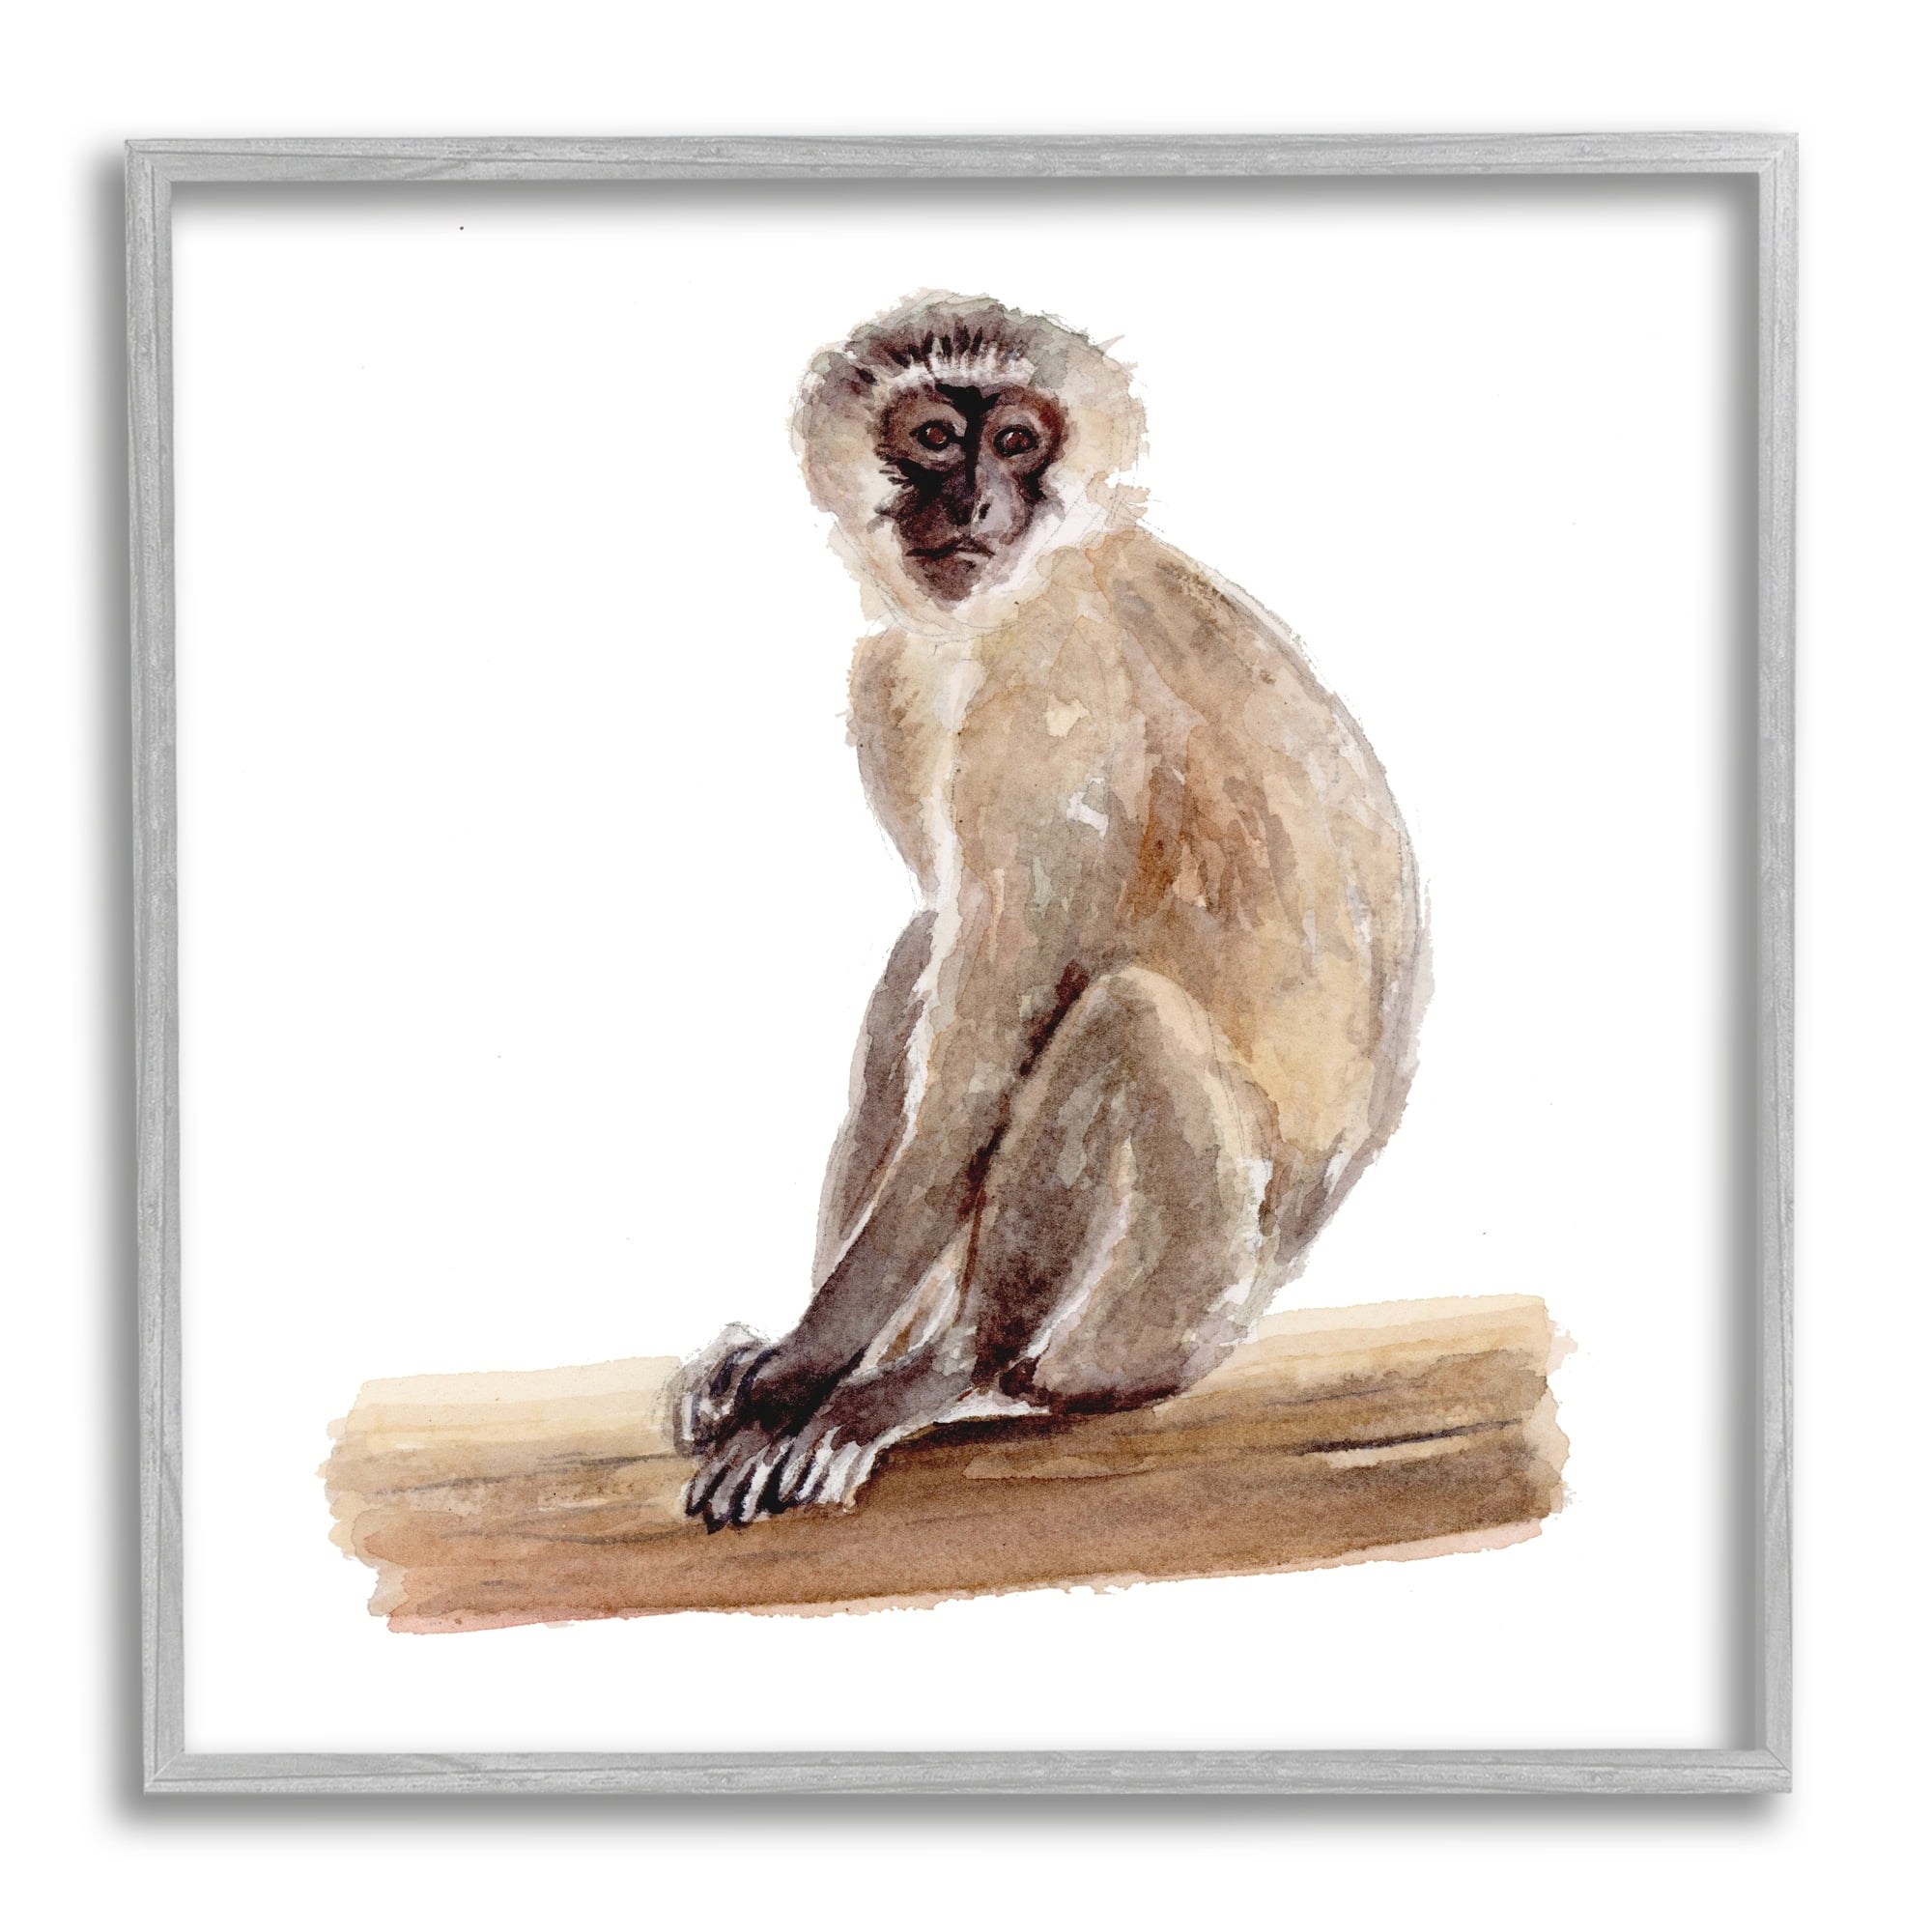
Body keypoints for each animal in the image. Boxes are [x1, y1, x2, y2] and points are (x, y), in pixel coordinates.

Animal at [672, 293, 1427, 1529]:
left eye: (1017, 442)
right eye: (936, 436)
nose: (977, 500)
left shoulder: (1055, 701)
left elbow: (987, 1058)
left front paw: (800, 1372)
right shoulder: (892, 678)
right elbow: (941, 974)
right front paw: (784, 1356)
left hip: (1169, 1313)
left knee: (1121, 1016)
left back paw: (944, 1367)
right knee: (933, 954)